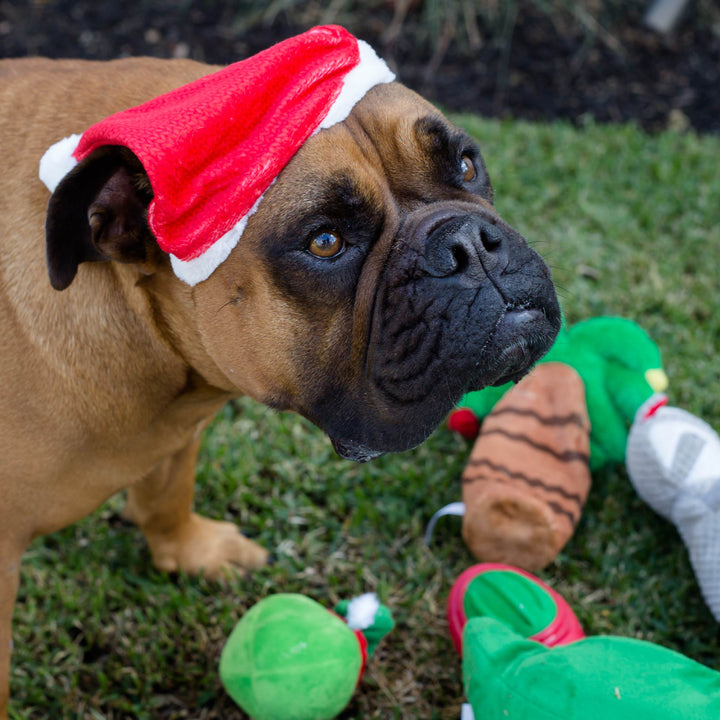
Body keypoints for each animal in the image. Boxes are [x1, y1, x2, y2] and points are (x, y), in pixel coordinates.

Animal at [0, 52, 564, 716]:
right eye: (325, 242)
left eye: (467, 166)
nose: (469, 244)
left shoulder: (179, 428)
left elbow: (168, 492)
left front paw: (190, 551)